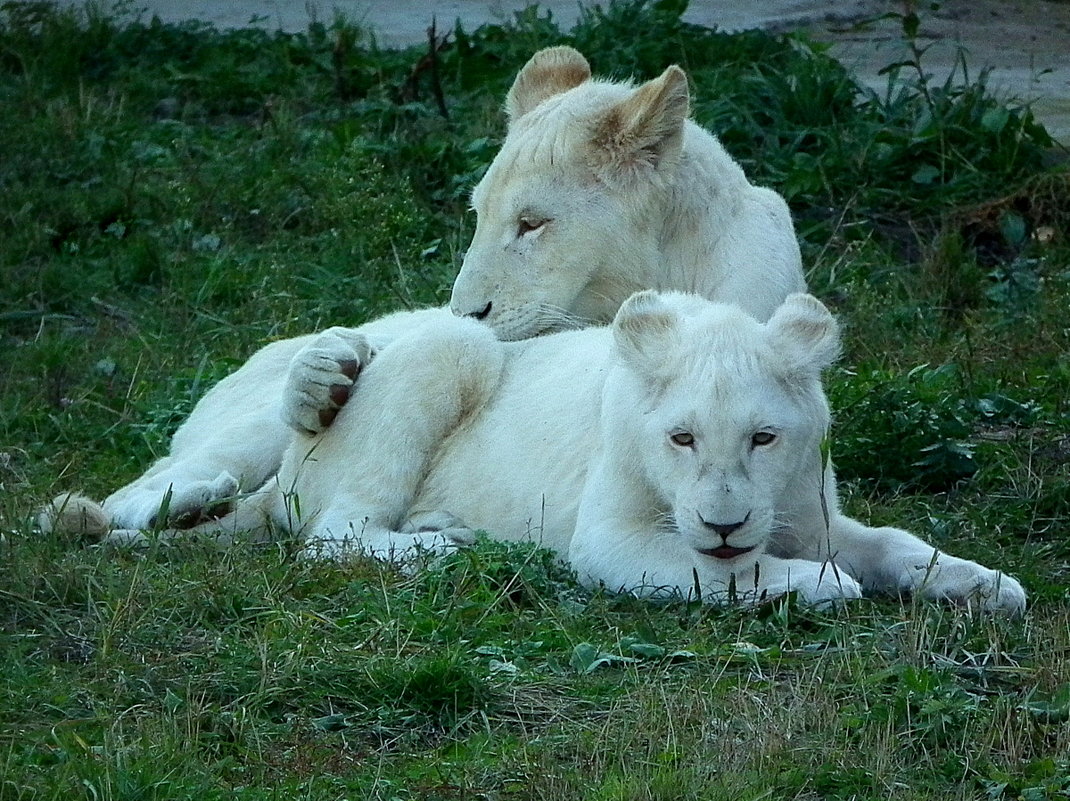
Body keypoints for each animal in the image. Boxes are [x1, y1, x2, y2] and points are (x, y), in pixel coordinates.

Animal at [50, 293, 1027, 611]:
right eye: (681, 437)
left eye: (763, 436)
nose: (723, 520)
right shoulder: (610, 538)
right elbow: (722, 572)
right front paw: (816, 586)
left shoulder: (808, 510)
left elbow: (891, 543)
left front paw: (984, 585)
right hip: (450, 348)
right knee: (330, 535)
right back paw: (449, 546)